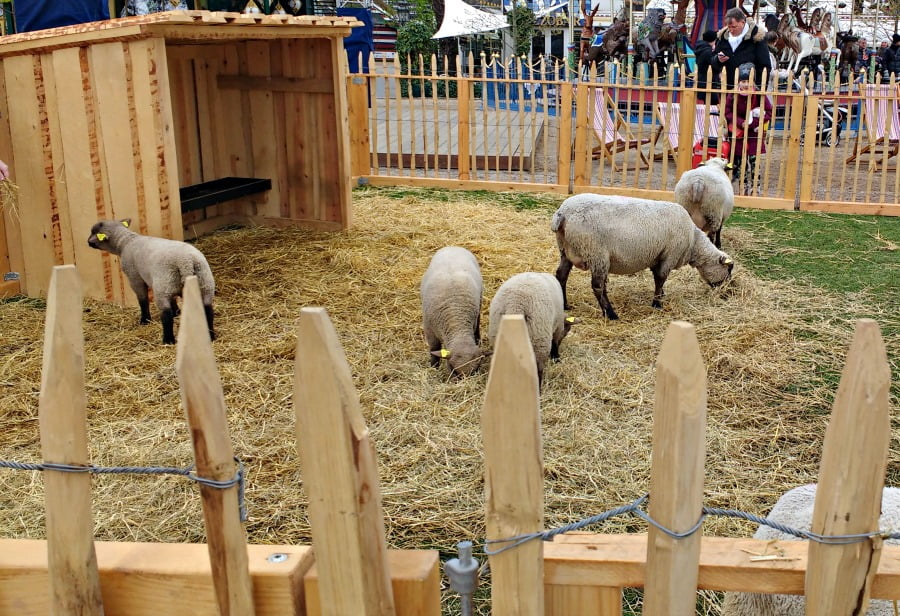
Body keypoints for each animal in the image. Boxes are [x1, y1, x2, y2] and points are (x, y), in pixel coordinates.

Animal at [420, 246, 488, 377]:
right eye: (453, 368)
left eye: (476, 369)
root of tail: (453, 247)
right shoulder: (430, 330)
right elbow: (433, 350)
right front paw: (434, 367)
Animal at [551, 194, 734, 320]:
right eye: (729, 270)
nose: (727, 294)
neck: (694, 243)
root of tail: (563, 213)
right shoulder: (670, 255)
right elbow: (660, 278)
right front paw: (657, 304)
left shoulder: (658, 256)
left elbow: (658, 280)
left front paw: (660, 297)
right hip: (596, 253)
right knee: (597, 285)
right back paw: (610, 313)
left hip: (566, 250)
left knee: (561, 275)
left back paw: (565, 305)